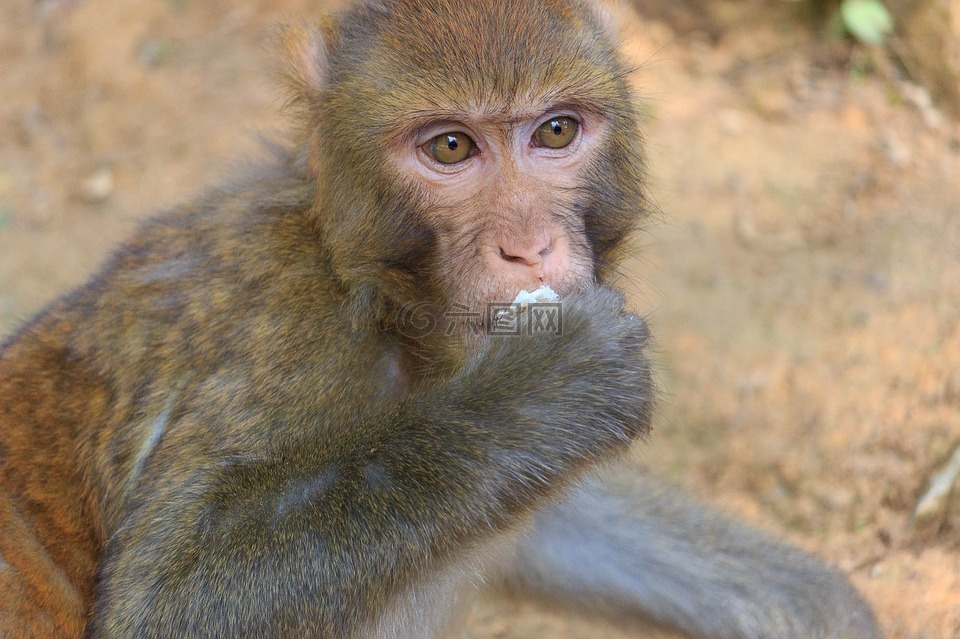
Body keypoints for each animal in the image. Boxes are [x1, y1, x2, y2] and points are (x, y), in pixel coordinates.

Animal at [0, 0, 884, 636]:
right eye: (451, 148)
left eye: (556, 131)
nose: (527, 245)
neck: (391, 310)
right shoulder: (288, 335)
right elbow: (167, 604)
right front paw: (538, 396)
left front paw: (814, 607)